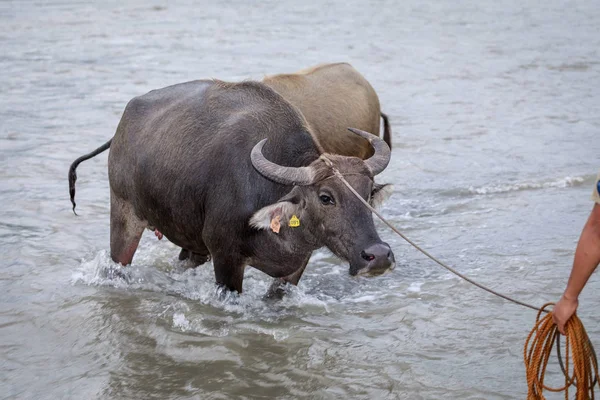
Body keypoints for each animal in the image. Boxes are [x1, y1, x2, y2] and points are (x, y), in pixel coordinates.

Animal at [70, 80, 396, 294]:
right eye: (326, 197)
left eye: (368, 193)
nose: (378, 255)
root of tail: (122, 127)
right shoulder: (226, 259)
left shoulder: (294, 270)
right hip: (124, 216)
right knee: (119, 262)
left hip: (192, 241)